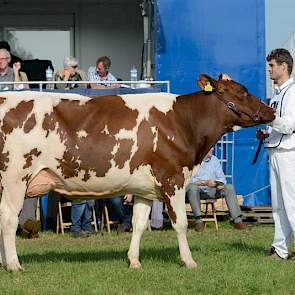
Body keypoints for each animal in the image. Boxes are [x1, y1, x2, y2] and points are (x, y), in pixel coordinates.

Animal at [0, 74, 276, 270]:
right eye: (242, 91)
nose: (271, 111)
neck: (182, 121)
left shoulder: (145, 187)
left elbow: (139, 224)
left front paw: (134, 261)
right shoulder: (173, 179)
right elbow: (181, 223)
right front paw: (189, 261)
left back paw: (4, 263)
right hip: (15, 176)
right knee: (9, 218)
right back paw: (14, 265)